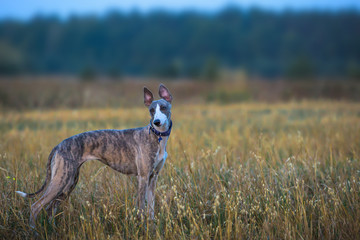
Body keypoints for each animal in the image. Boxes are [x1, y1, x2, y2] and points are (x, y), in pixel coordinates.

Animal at [16, 84, 174, 227]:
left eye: (163, 108)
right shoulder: (143, 177)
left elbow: (151, 208)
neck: (157, 137)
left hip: (69, 182)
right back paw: (34, 231)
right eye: (151, 110)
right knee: (36, 206)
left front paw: (152, 227)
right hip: (60, 180)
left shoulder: (153, 177)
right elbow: (141, 207)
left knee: (51, 207)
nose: (157, 122)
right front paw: (141, 228)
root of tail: (58, 146)